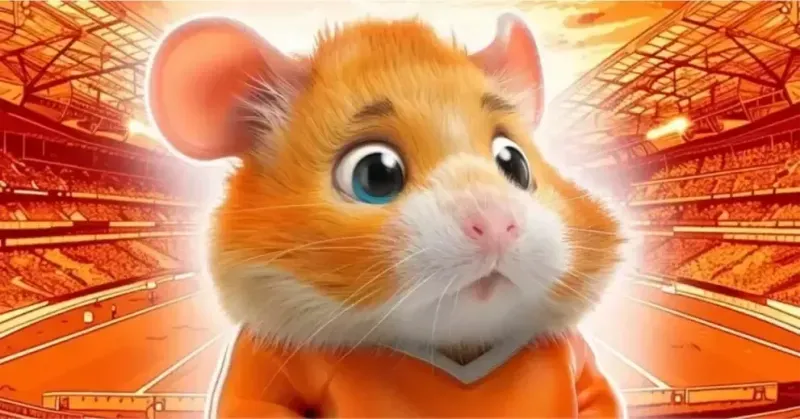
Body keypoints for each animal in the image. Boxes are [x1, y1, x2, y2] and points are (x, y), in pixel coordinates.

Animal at [147, 12, 625, 418]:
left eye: (515, 163)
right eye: (375, 174)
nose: (497, 225)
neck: (458, 344)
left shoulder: (580, 362)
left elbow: (598, 395)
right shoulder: (263, 365)